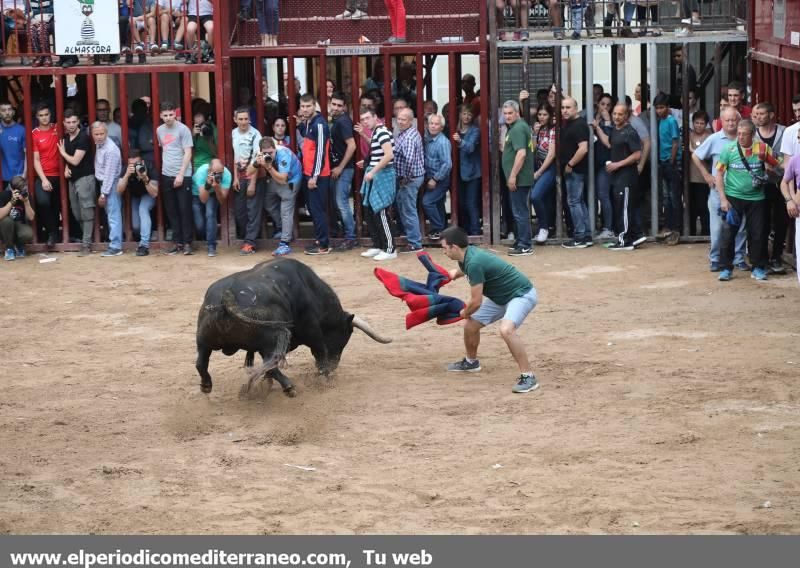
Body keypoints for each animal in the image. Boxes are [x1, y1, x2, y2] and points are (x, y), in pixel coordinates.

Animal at [195, 258, 392, 394]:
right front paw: (325, 378)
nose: (334, 366)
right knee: (273, 365)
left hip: (203, 341)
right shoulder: (312, 331)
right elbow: (320, 353)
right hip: (270, 342)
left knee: (201, 363)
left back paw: (207, 386)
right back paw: (289, 387)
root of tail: (227, 300)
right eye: (344, 336)